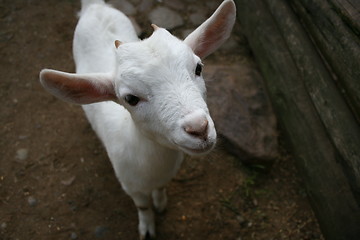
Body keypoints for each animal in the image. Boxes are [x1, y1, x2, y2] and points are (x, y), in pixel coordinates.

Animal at [40, 0, 236, 238]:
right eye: (131, 98)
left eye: (198, 67)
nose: (198, 127)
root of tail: (95, 6)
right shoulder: (130, 185)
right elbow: (142, 206)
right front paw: (147, 228)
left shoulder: (165, 175)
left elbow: (160, 189)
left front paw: (160, 203)